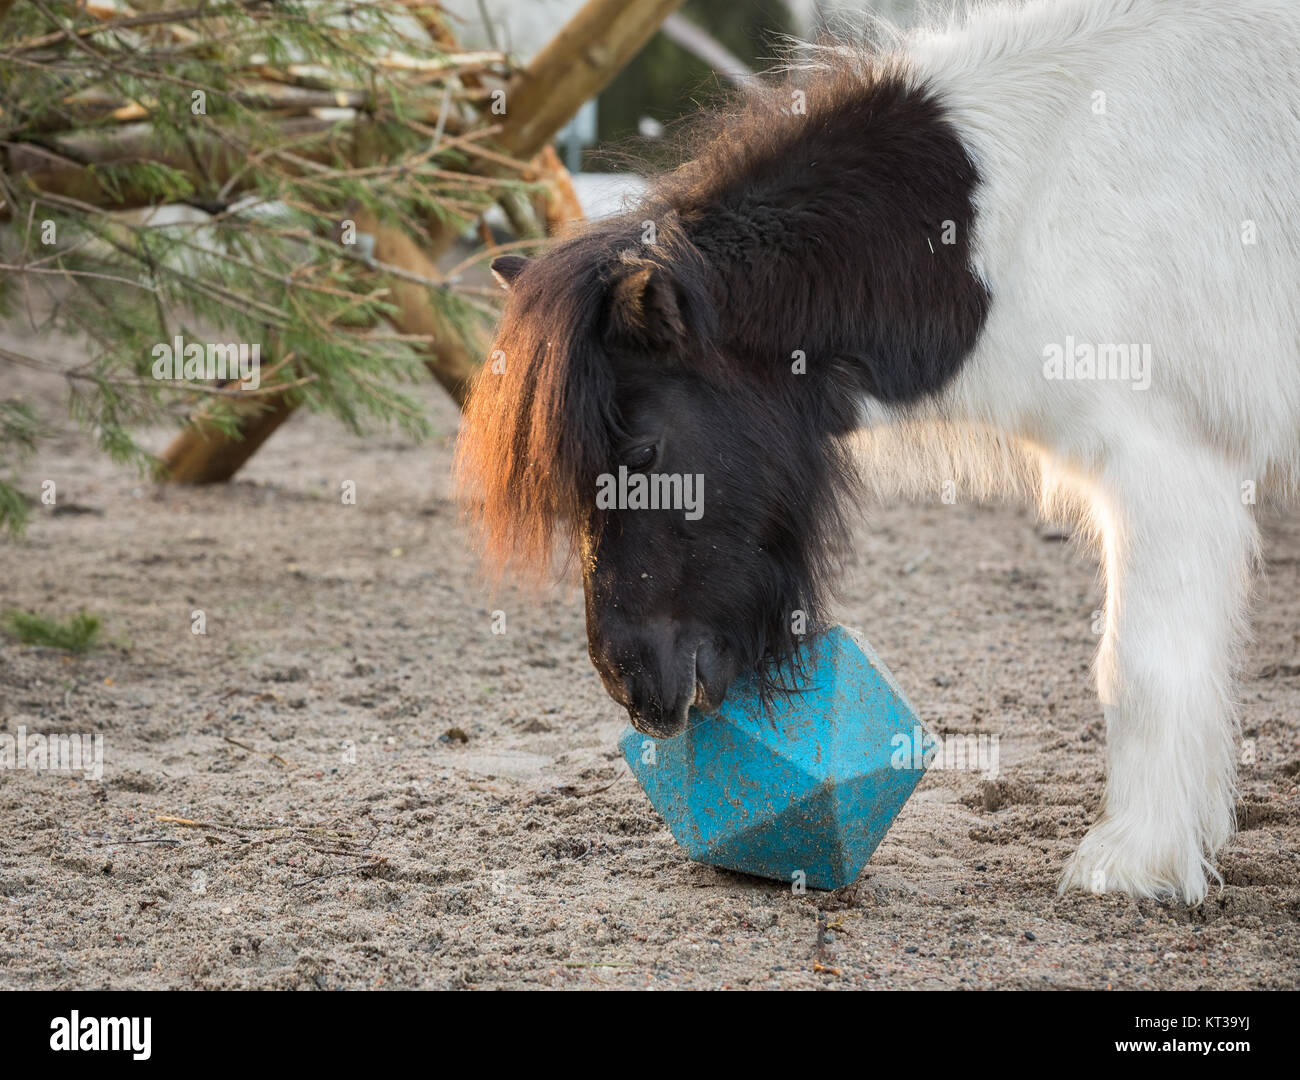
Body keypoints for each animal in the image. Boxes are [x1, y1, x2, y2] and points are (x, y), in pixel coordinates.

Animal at [455, 0, 1300, 903]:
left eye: (645, 452)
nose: (632, 684)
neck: (1045, 191)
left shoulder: (1166, 463)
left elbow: (1143, 668)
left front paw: (1133, 863)